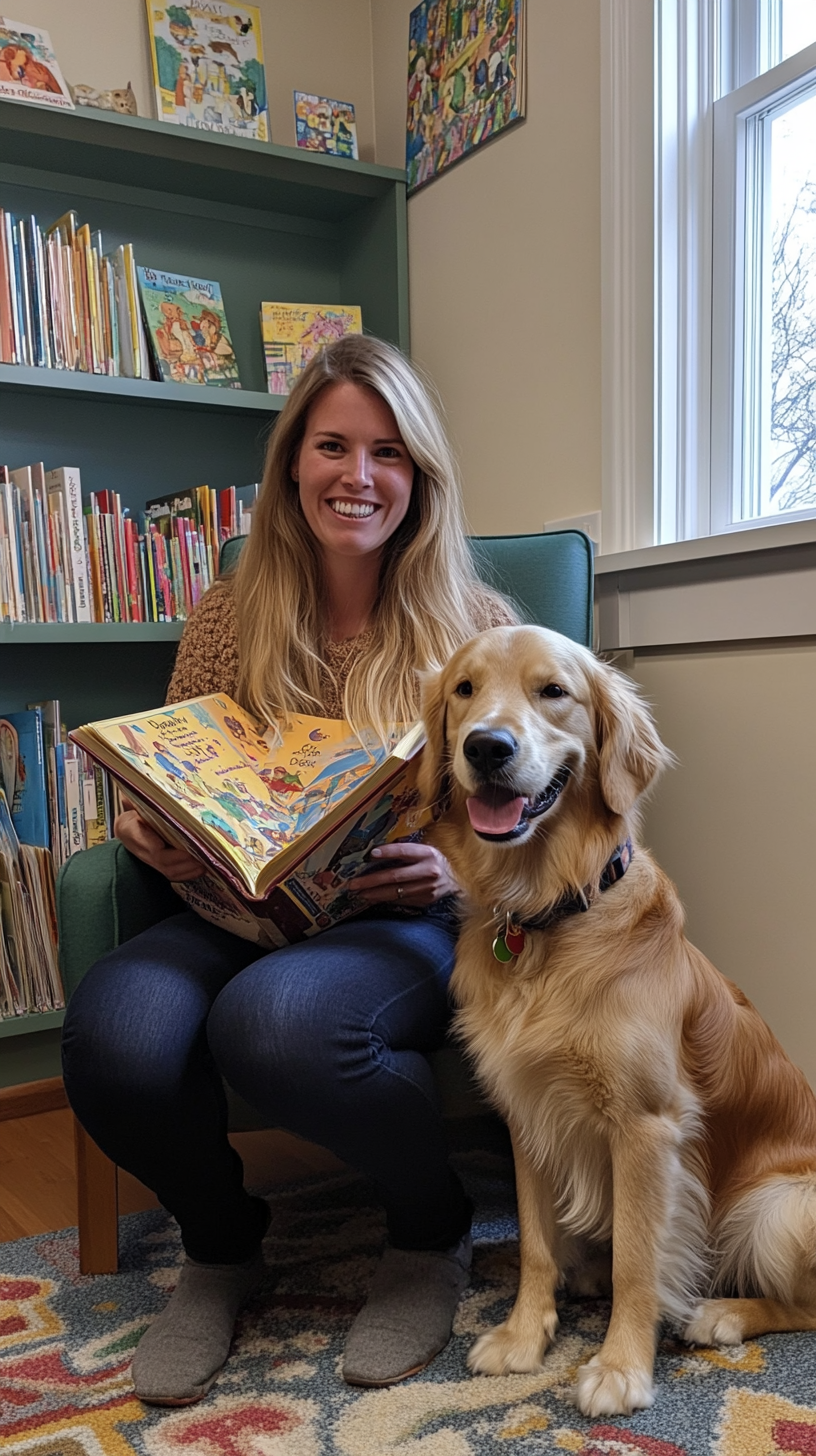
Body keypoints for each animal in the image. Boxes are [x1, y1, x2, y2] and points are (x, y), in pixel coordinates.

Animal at [416, 623, 816, 1409]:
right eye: (464, 690)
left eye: (553, 691)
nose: (486, 747)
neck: (547, 914)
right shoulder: (527, 1113)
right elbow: (537, 1243)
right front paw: (524, 1334)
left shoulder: (645, 1127)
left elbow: (638, 1257)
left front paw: (621, 1366)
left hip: (779, 1206)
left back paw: (723, 1313)